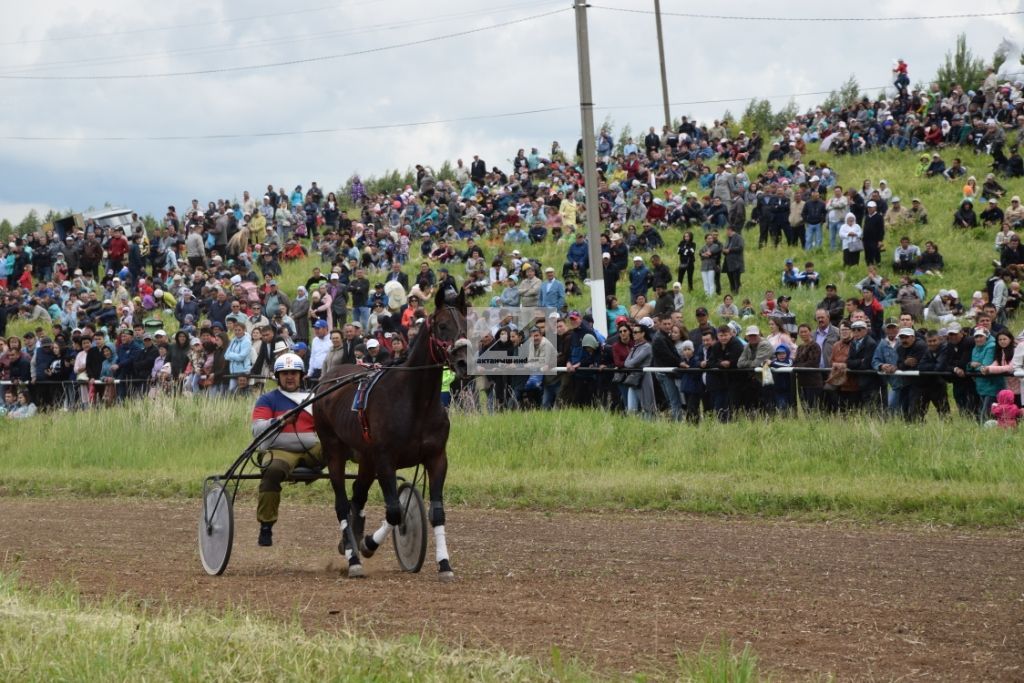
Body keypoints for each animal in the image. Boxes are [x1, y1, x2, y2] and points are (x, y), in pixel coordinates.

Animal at [311, 286, 468, 581]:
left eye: (465, 325)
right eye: (442, 326)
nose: (463, 362)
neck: (416, 401)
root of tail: (328, 378)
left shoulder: (436, 458)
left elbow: (437, 513)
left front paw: (444, 564)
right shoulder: (385, 459)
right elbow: (395, 511)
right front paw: (368, 544)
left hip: (365, 458)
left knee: (357, 495)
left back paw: (350, 541)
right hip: (334, 449)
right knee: (342, 503)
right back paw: (353, 558)